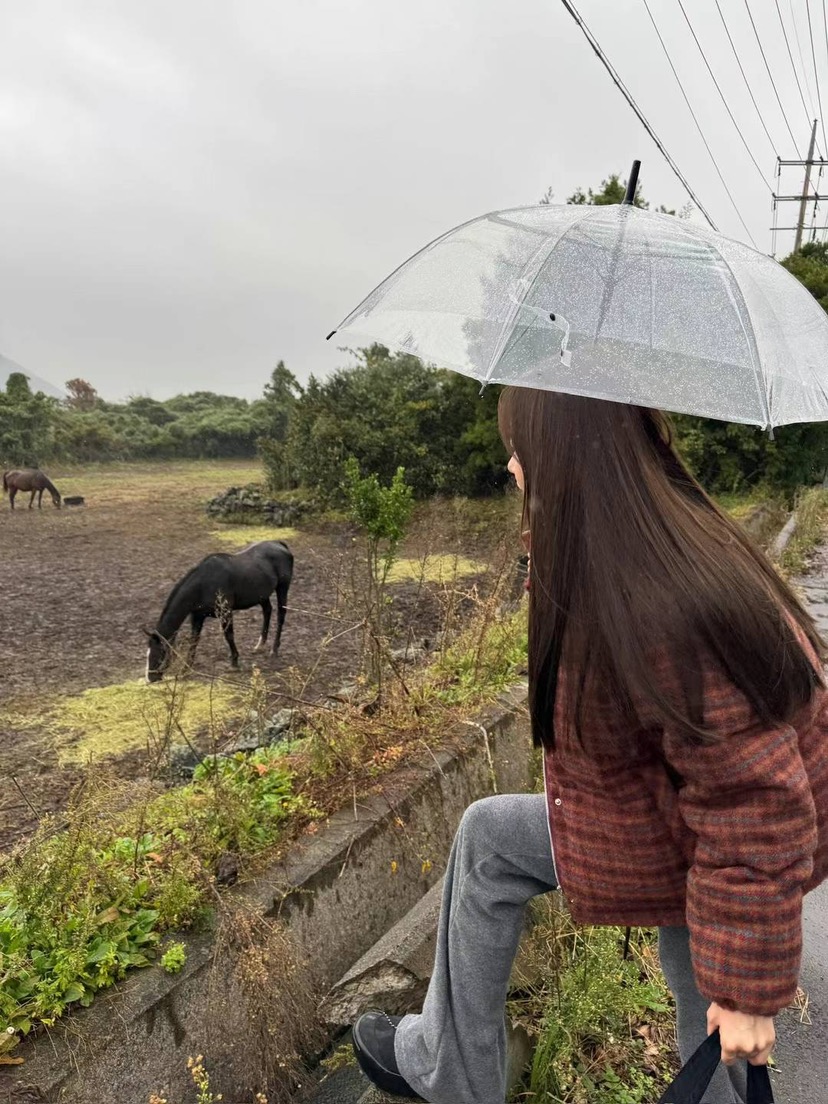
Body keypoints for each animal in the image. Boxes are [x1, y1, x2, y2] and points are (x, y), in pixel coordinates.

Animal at [145, 540, 295, 680]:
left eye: (161, 652)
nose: (150, 678)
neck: (203, 584)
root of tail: (279, 544)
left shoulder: (225, 613)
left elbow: (229, 636)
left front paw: (234, 662)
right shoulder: (197, 616)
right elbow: (194, 640)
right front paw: (186, 669)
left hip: (282, 588)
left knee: (280, 615)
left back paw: (274, 649)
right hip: (262, 595)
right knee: (267, 611)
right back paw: (260, 645)